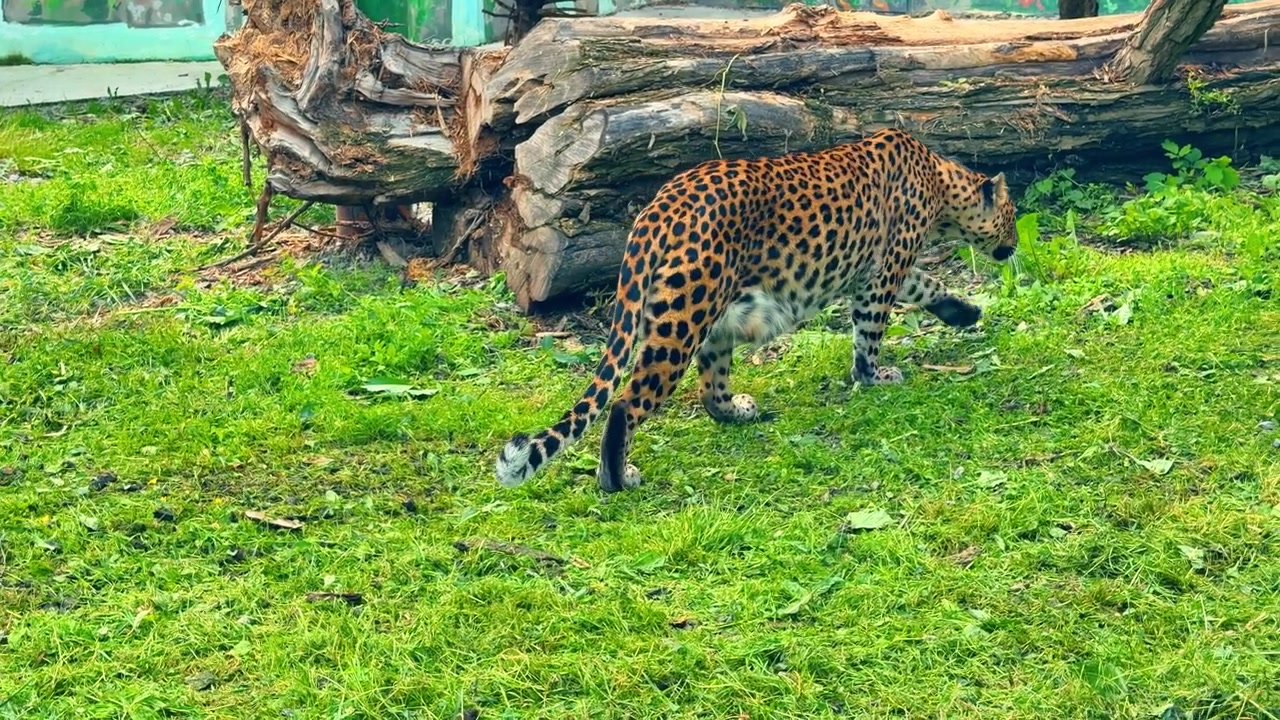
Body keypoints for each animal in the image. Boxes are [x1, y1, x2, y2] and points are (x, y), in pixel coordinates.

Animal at [496, 128, 1020, 493]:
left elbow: (929, 284)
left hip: (711, 318)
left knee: (711, 391)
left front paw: (965, 312)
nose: (1015, 246)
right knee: (626, 403)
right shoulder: (882, 274)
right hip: (682, 320)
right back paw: (617, 479)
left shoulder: (888, 271)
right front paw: (874, 376)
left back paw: (739, 412)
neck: (941, 184)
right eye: (1013, 215)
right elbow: (870, 333)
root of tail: (658, 210)